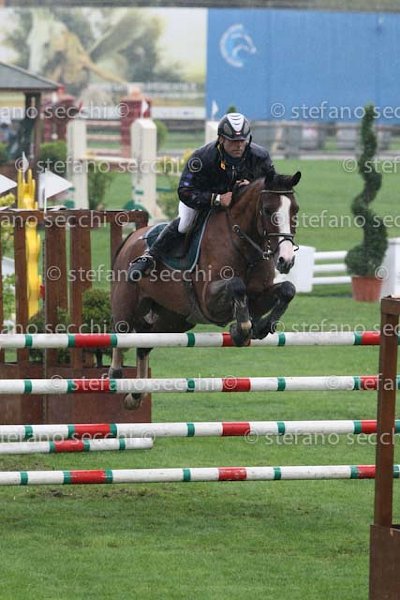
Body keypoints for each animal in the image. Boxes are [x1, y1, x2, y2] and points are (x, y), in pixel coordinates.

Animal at [109, 171, 301, 408]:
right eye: (267, 210)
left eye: (295, 210)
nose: (286, 260)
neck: (242, 244)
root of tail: (131, 239)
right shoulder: (209, 300)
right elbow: (237, 285)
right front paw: (242, 330)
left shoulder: (258, 296)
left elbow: (287, 290)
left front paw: (261, 326)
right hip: (127, 305)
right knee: (121, 335)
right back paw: (115, 376)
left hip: (173, 320)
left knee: (144, 345)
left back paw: (135, 395)